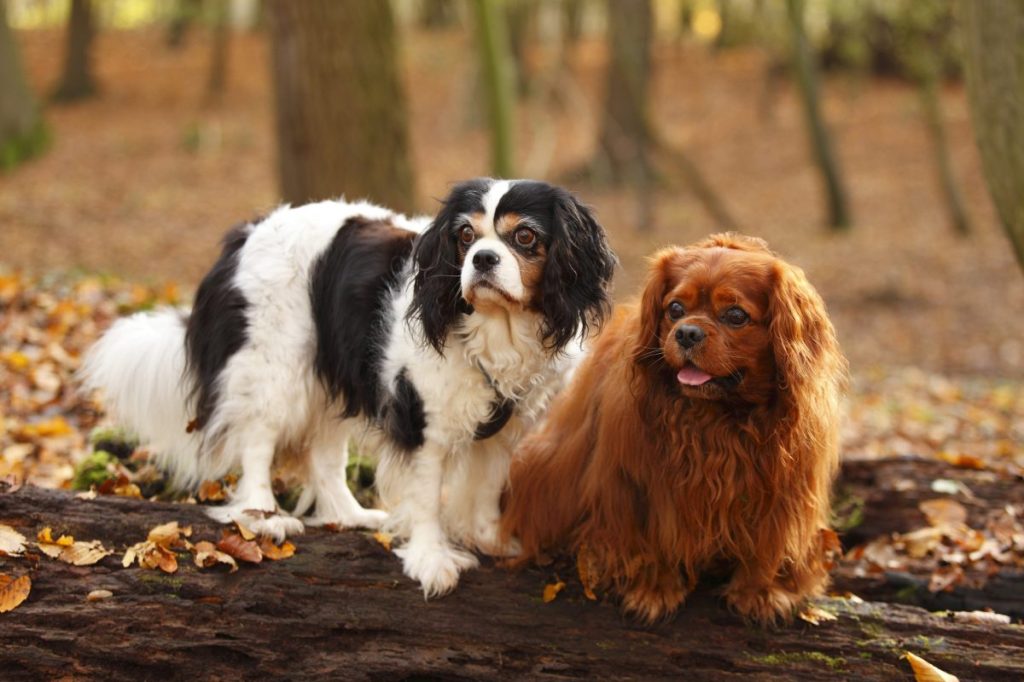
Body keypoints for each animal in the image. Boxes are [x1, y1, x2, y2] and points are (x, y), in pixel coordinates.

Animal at [81, 178, 614, 593]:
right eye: (465, 235)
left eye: (524, 236)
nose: (482, 259)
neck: (497, 328)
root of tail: (245, 236)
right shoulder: (421, 420)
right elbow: (426, 495)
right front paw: (431, 559)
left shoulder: (507, 426)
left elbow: (488, 484)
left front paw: (490, 536)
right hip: (275, 365)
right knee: (257, 441)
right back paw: (262, 514)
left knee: (324, 456)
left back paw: (349, 515)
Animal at [499, 233, 843, 622]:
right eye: (675, 309)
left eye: (736, 315)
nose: (688, 332)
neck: (718, 418)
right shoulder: (639, 485)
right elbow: (653, 540)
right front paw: (654, 590)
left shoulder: (782, 488)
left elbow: (767, 545)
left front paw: (759, 591)